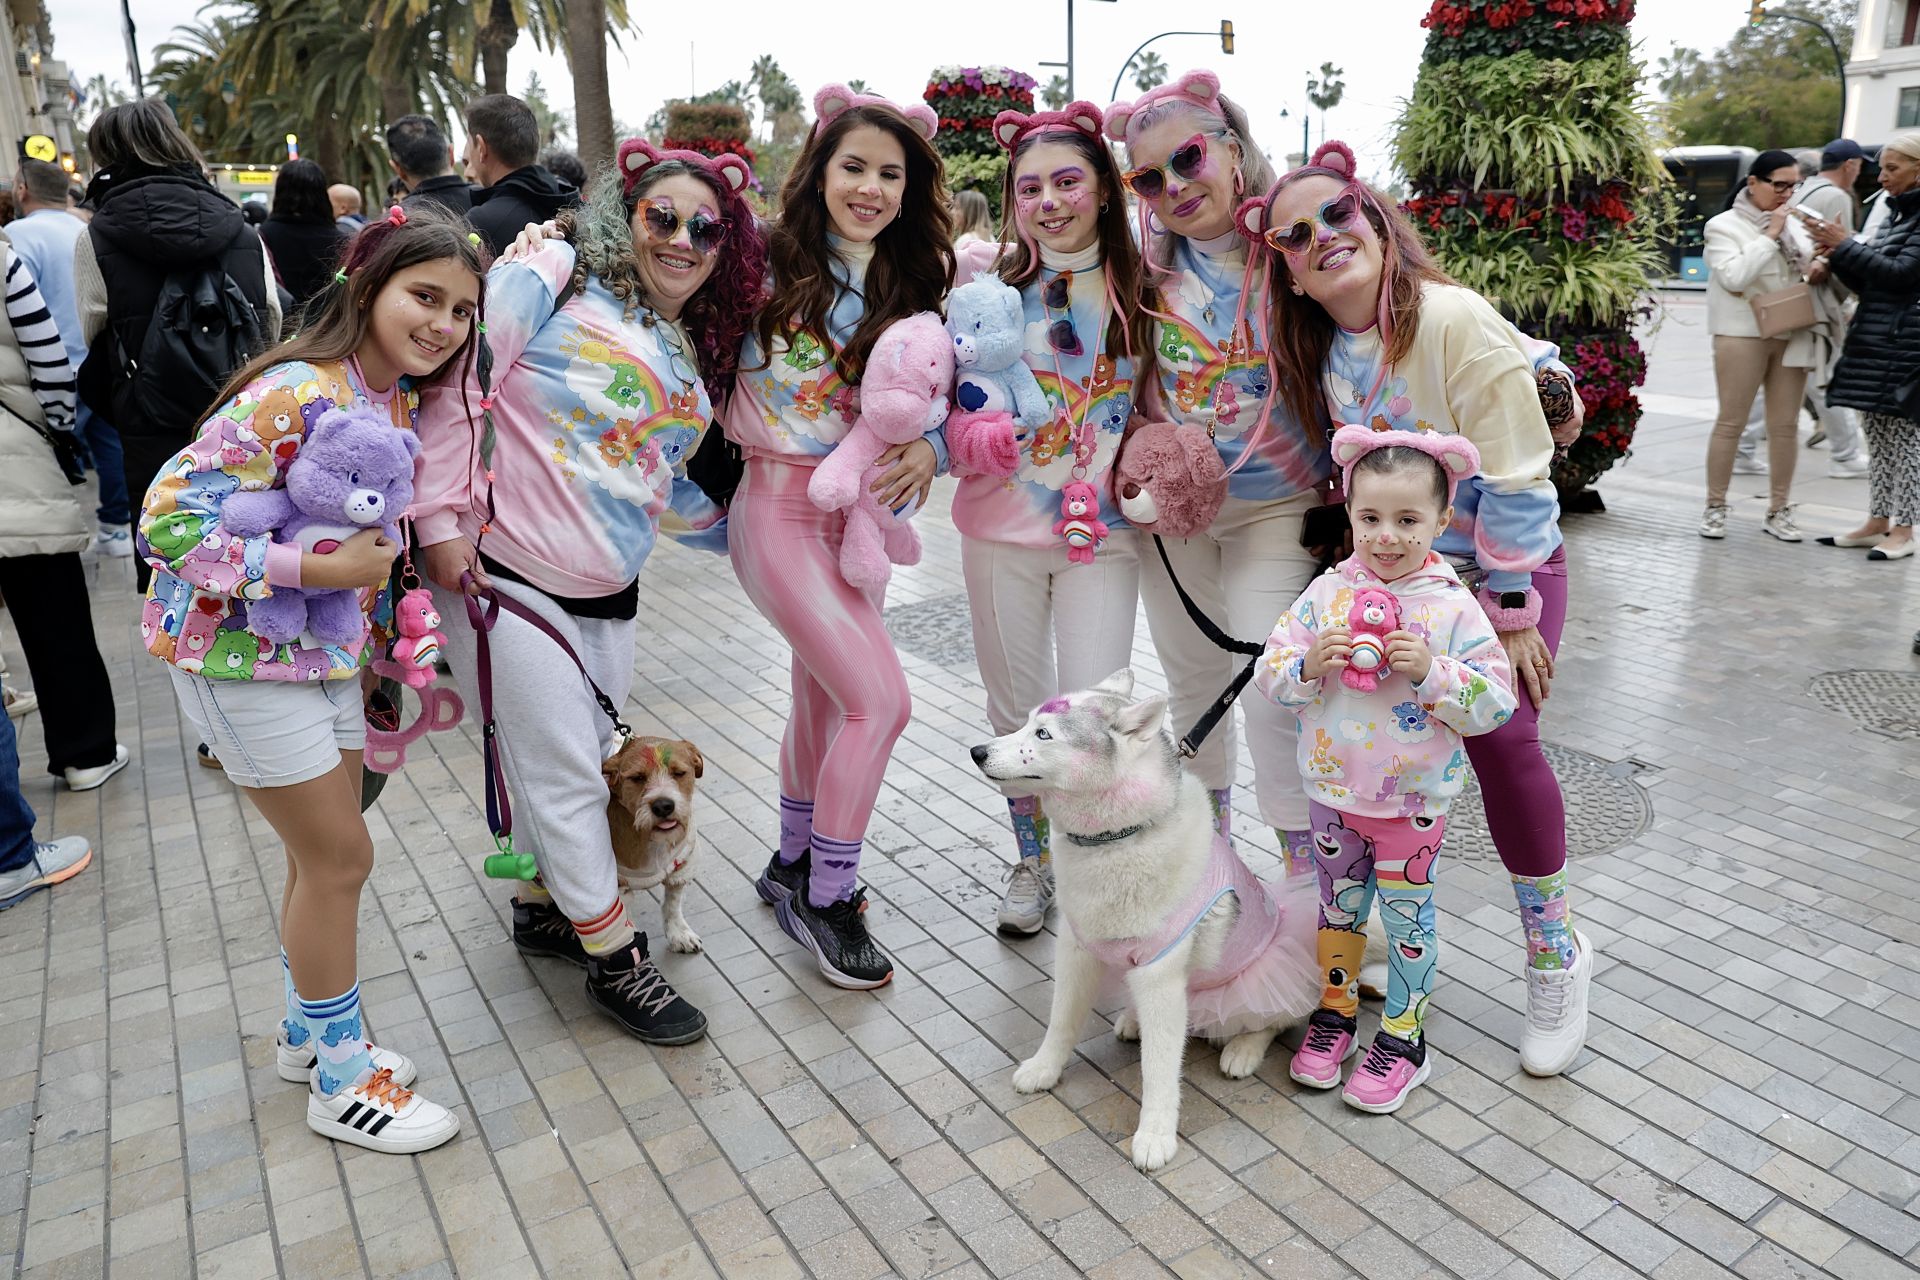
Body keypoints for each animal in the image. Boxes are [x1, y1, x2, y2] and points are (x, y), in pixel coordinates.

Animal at [599, 736, 706, 955]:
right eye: (637, 777)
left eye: (678, 773)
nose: (663, 806)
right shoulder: (618, 885)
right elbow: (622, 921)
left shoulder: (683, 864)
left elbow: (672, 904)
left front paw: (678, 934)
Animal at [975, 671, 1320, 1174]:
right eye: (1025, 723)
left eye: (1044, 735)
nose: (977, 751)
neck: (1114, 840)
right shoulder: (1076, 952)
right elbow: (1061, 1021)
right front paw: (1044, 1068)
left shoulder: (1160, 977)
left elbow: (1158, 1069)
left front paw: (1155, 1136)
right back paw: (1133, 1020)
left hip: (1270, 967)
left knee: (1271, 1014)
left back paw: (1243, 1049)